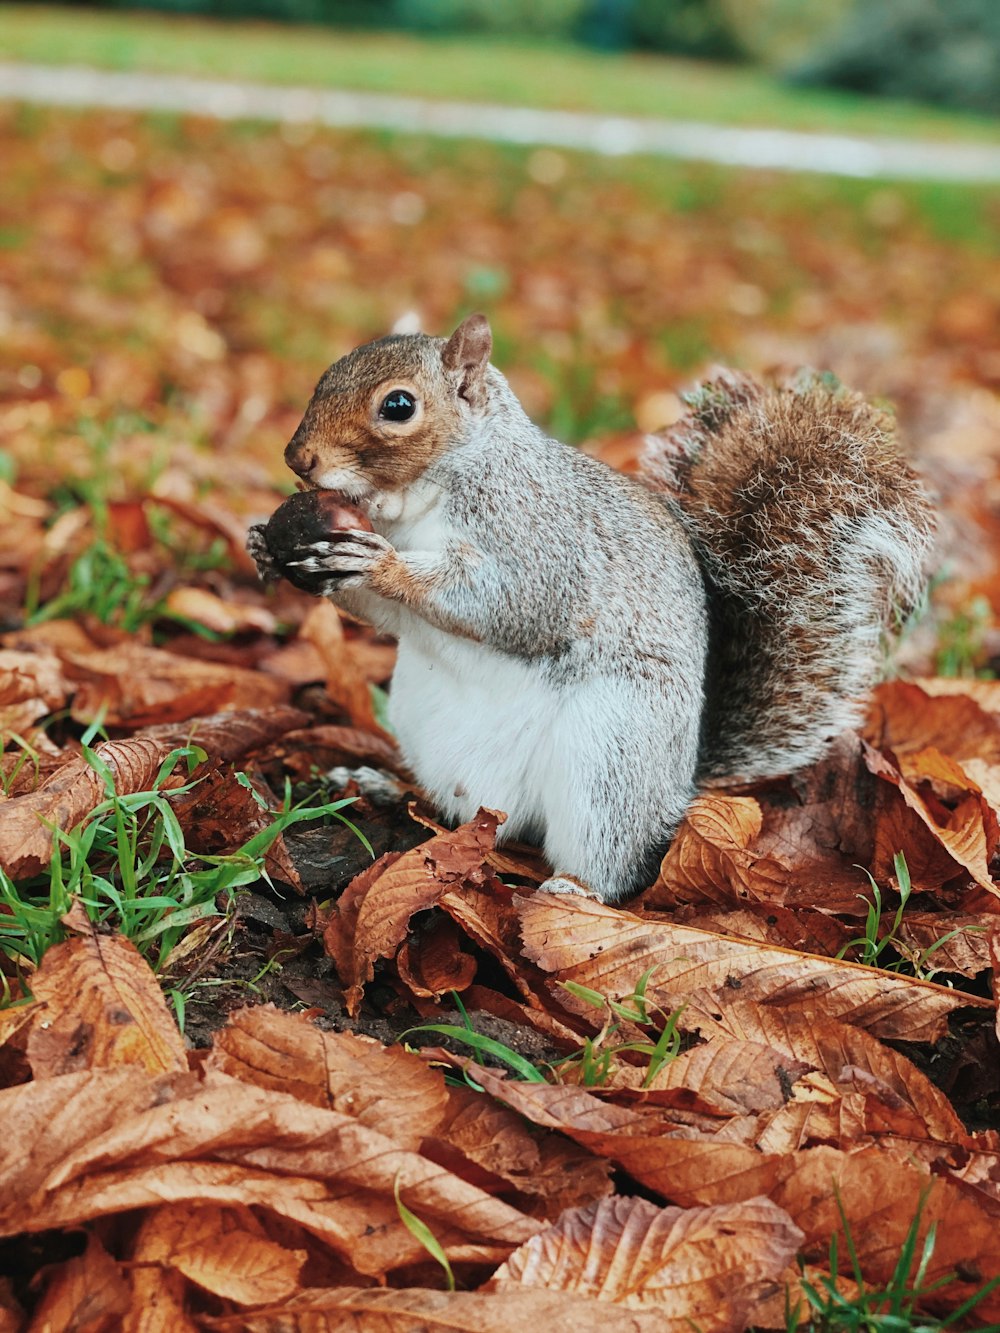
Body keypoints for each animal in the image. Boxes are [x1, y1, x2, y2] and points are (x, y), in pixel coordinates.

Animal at [246, 311, 938, 901]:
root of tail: (680, 787)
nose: (296, 457)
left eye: (398, 406)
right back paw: (383, 786)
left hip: (610, 756)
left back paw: (574, 891)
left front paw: (379, 564)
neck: (416, 499)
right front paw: (264, 544)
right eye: (327, 373)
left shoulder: (537, 538)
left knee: (612, 861)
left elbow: (512, 604)